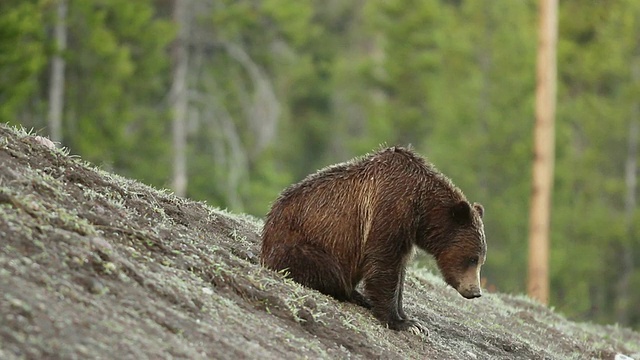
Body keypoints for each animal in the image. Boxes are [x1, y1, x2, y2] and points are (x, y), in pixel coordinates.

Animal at [260, 147, 484, 334]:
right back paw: (352, 293)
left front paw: (409, 318)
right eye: (472, 258)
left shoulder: (406, 233)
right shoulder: (390, 208)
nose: (475, 291)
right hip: (299, 242)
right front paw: (403, 322)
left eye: (480, 260)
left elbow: (399, 270)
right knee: (326, 270)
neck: (421, 210)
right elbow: (383, 262)